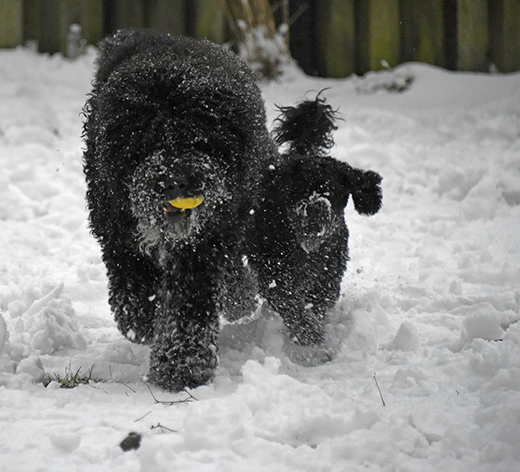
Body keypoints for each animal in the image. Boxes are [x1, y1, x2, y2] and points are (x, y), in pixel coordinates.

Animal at [82, 29, 382, 390]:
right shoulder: (120, 235)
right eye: (147, 138)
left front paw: (182, 367)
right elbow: (134, 293)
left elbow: (189, 306)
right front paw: (145, 326)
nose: (176, 182)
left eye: (199, 137)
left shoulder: (203, 244)